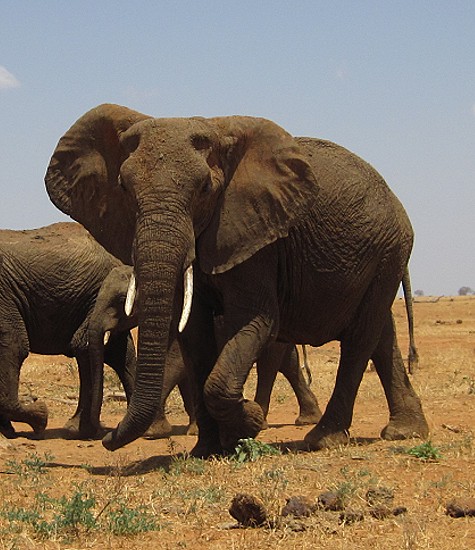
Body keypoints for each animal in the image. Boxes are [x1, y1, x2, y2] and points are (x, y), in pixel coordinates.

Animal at [45, 103, 432, 458]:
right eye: (124, 188)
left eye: (204, 188)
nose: (106, 439)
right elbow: (194, 333)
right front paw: (207, 449)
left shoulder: (258, 236)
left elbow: (255, 319)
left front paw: (250, 421)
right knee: (380, 334)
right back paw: (404, 431)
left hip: (389, 249)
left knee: (360, 338)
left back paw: (323, 438)